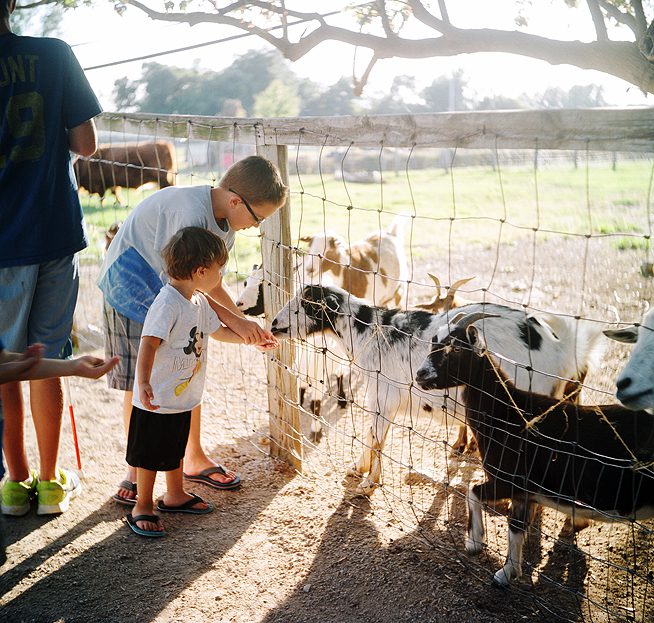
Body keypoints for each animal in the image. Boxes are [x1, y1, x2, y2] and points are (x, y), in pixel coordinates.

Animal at [270, 286, 604, 498]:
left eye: (306, 305)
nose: (273, 324)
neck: (370, 330)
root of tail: (562, 350)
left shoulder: (384, 396)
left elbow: (377, 438)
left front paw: (368, 485)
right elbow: (371, 435)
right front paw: (359, 469)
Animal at [418, 314, 654, 588]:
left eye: (456, 348)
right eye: (433, 341)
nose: (420, 374)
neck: (508, 413)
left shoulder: (510, 480)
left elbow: (472, 491)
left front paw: (474, 542)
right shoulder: (525, 493)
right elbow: (515, 528)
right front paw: (506, 573)